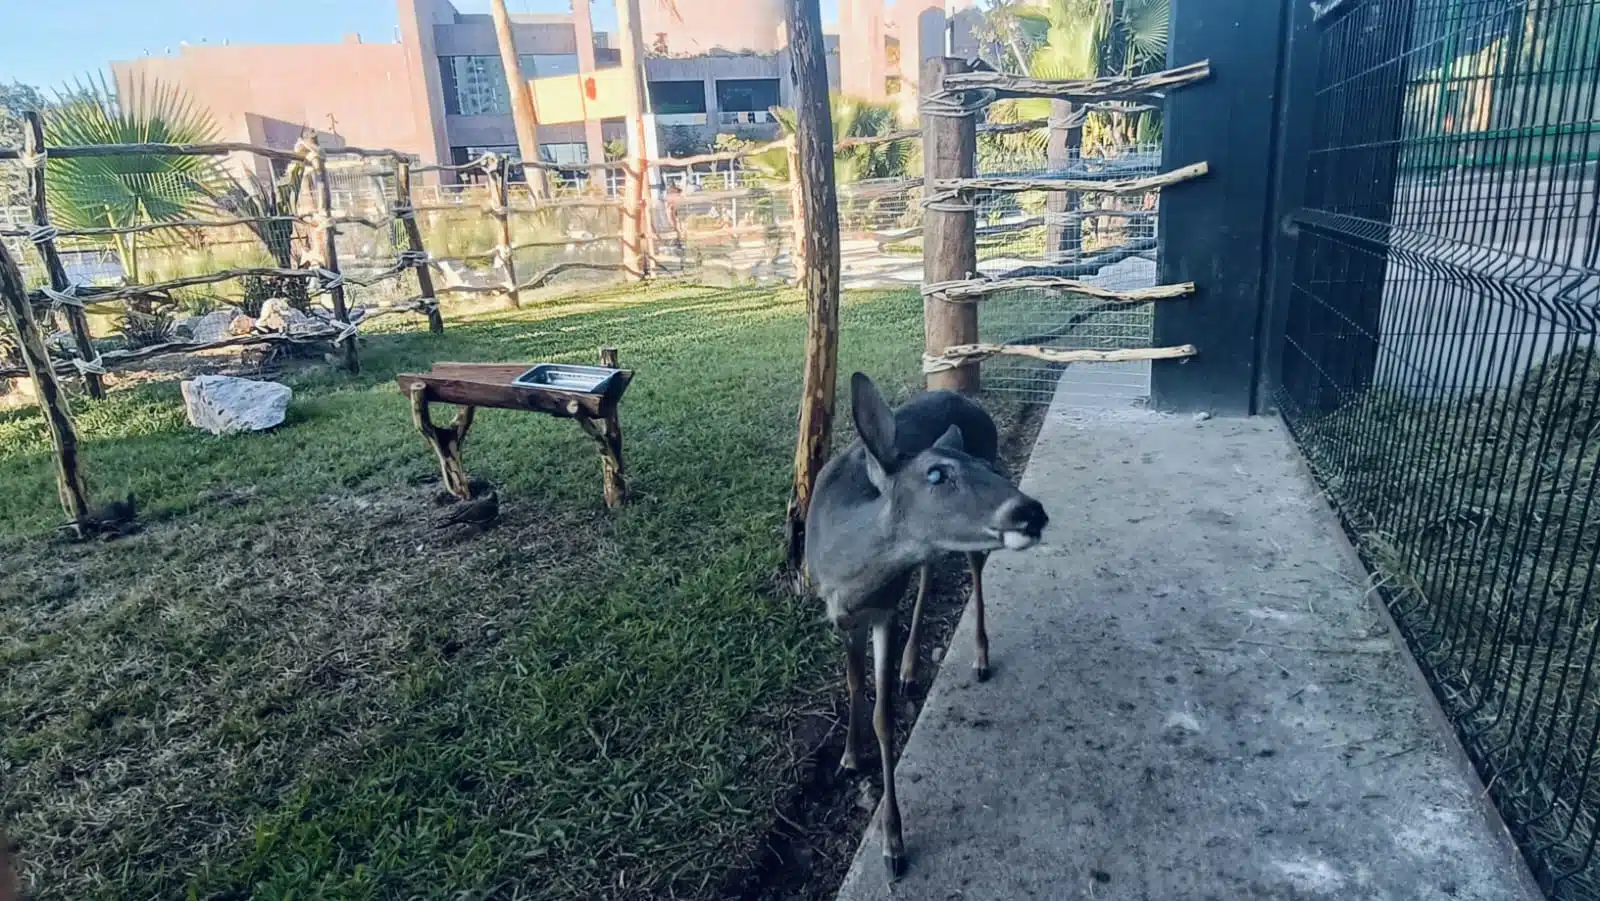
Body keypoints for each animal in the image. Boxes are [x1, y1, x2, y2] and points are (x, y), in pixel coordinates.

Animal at [800, 371, 1049, 883]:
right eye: (936, 474)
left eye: (985, 468)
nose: (1031, 511)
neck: (849, 574)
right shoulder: (840, 616)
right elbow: (854, 684)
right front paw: (849, 757)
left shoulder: (884, 609)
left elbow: (884, 716)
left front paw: (893, 845)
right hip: (935, 548)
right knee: (932, 569)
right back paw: (912, 667)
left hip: (966, 545)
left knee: (974, 568)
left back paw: (978, 658)